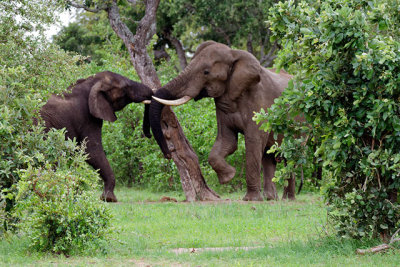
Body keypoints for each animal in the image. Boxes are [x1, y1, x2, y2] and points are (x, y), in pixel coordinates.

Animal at [40, 71, 153, 203]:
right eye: (126, 87)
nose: (149, 135)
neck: (91, 81)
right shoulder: (88, 117)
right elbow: (91, 151)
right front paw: (109, 199)